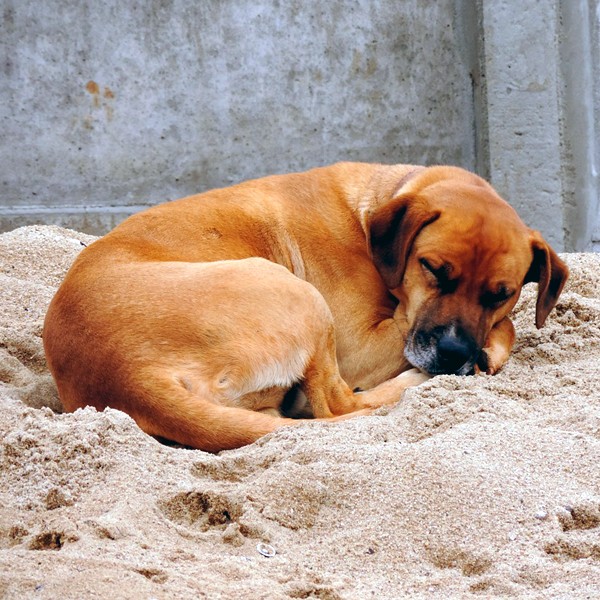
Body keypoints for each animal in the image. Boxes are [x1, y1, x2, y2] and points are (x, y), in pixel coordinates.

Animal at [42, 162, 568, 452]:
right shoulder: (363, 344)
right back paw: (420, 383)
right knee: (339, 405)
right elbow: (509, 330)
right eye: (433, 269)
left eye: (500, 293)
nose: (456, 353)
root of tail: (127, 376)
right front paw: (489, 351)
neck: (375, 206)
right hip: (302, 299)